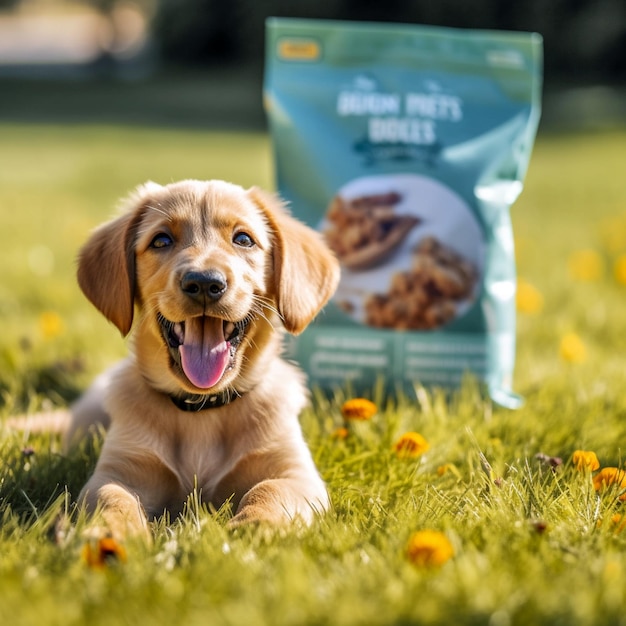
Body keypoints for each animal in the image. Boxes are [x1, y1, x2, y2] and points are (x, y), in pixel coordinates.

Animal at [70, 180, 338, 536]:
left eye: (243, 239)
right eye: (161, 240)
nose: (204, 283)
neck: (201, 410)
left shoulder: (296, 474)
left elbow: (270, 490)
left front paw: (255, 527)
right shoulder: (118, 469)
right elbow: (112, 496)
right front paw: (112, 533)